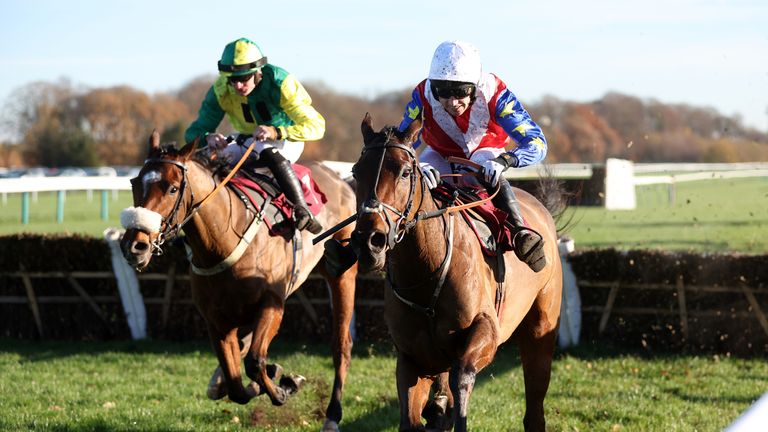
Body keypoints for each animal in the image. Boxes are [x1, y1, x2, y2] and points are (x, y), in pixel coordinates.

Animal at [121, 132, 358, 432]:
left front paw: (286, 385)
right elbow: (236, 386)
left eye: (173, 188)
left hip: (341, 272)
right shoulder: (217, 322)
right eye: (134, 182)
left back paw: (332, 416)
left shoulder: (272, 304)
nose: (134, 246)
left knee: (341, 346)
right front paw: (266, 378)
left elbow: (255, 362)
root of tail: (338, 178)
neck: (222, 241)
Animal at [352, 115, 560, 432]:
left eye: (405, 172)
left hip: (541, 328)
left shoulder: (486, 332)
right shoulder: (412, 358)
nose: (368, 241)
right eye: (355, 171)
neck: (425, 275)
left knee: (534, 406)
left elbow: (461, 376)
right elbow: (411, 419)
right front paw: (435, 411)